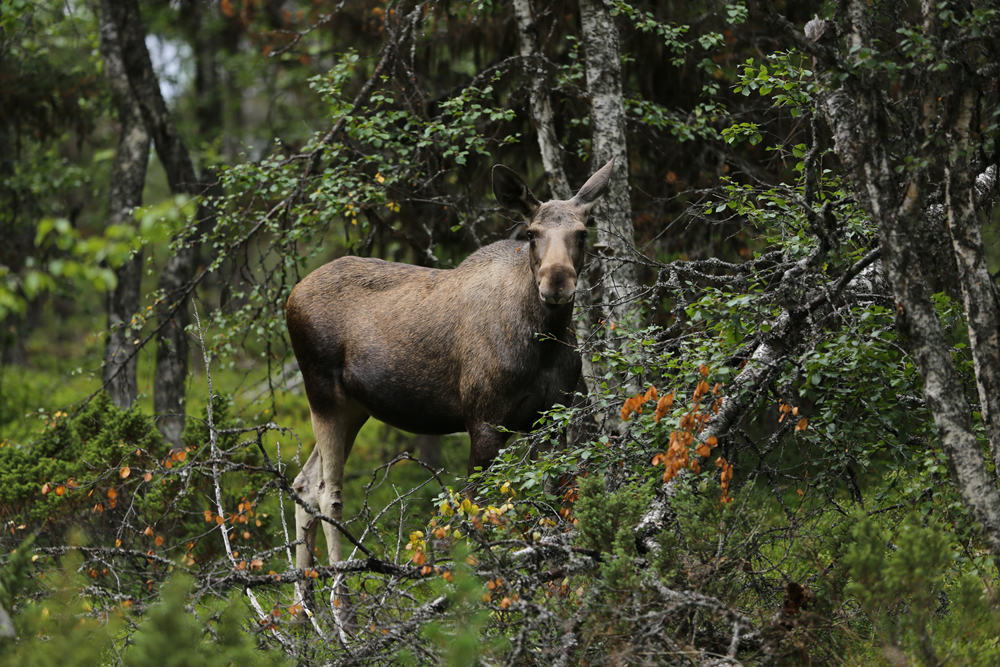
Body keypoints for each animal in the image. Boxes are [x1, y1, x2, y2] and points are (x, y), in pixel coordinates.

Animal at [286, 158, 612, 612]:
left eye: (582, 232)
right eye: (531, 234)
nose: (557, 283)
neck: (543, 343)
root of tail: (290, 296)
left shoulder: (553, 417)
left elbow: (554, 498)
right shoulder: (484, 420)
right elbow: (478, 509)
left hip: (355, 407)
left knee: (302, 482)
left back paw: (303, 611)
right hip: (323, 393)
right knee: (325, 490)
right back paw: (342, 609)